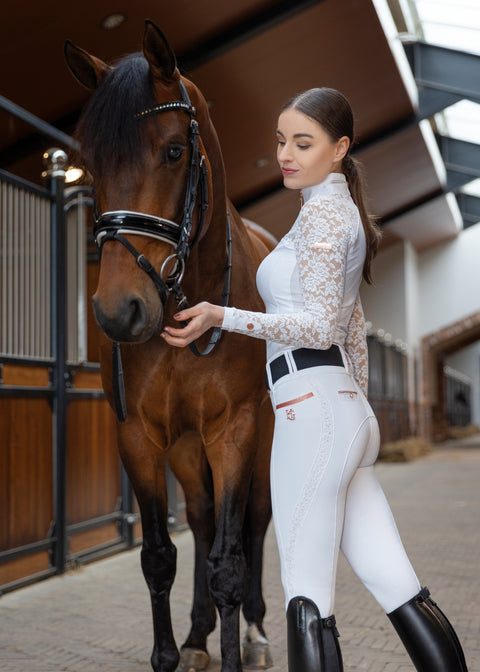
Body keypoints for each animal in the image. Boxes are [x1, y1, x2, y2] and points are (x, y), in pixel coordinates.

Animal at [64, 18, 274, 672]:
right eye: (92, 163)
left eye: (175, 151)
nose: (118, 311)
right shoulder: (139, 436)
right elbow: (160, 556)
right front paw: (176, 650)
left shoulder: (235, 430)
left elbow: (230, 560)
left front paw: (237, 643)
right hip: (186, 446)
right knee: (203, 522)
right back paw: (199, 635)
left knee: (255, 522)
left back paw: (256, 631)